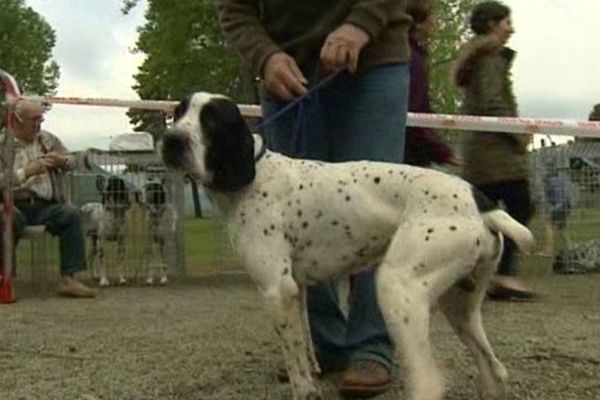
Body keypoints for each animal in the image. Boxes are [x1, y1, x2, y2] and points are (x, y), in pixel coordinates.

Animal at [161, 92, 536, 400]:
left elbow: (297, 366)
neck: (253, 176)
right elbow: (304, 347)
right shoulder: (294, 291)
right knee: (495, 369)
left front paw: (306, 391)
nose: (171, 141)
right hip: (459, 305)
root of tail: (480, 202)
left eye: (211, 120)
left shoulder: (276, 291)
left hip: (398, 288)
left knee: (430, 382)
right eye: (177, 113)